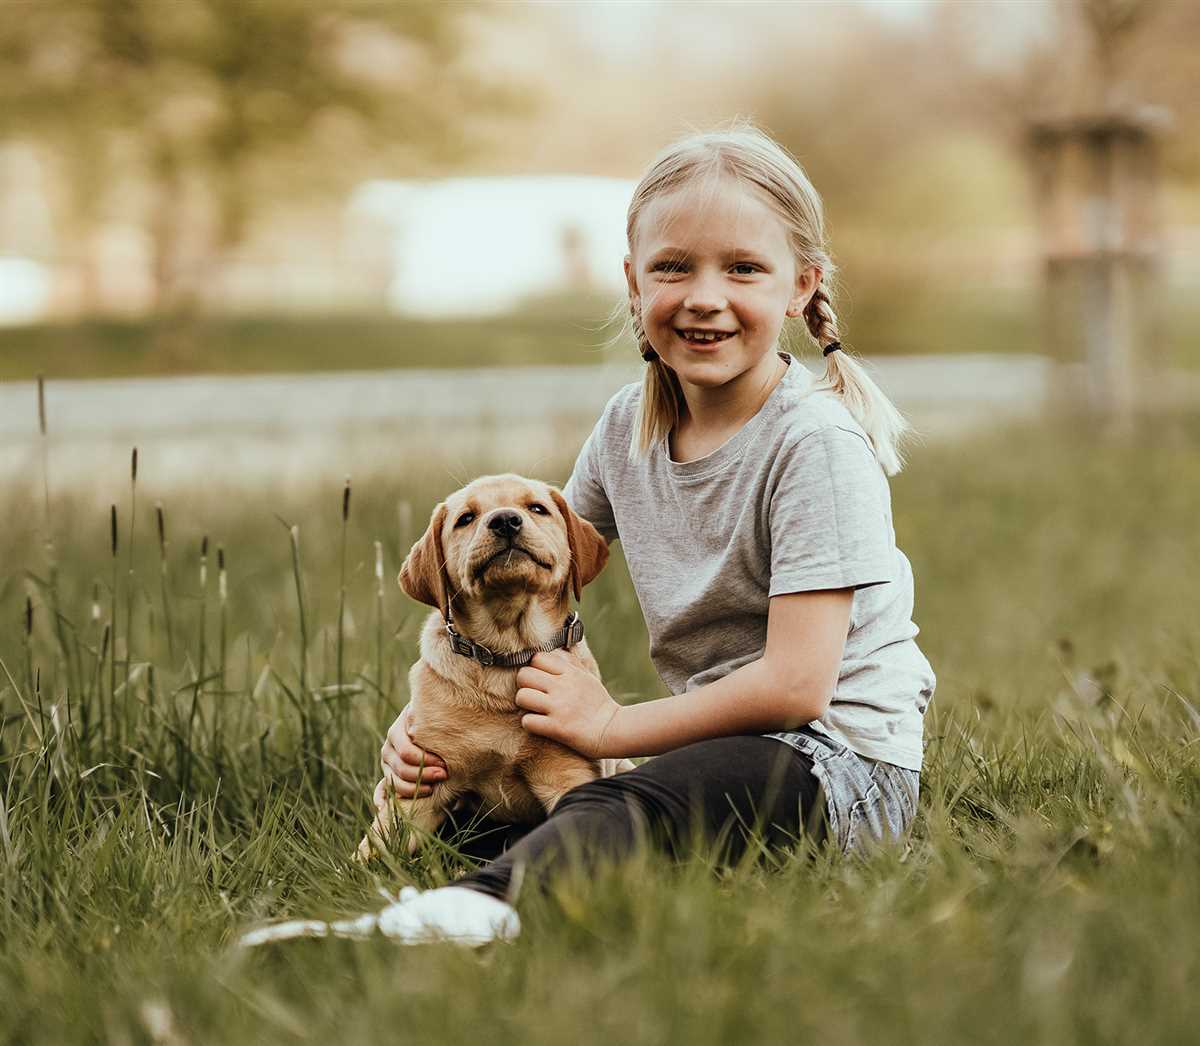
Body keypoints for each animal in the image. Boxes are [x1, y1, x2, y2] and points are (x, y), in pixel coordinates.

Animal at [357, 475, 633, 858]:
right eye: (465, 518)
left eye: (537, 508)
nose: (505, 520)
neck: (508, 654)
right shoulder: (422, 782)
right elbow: (374, 850)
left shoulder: (568, 772)